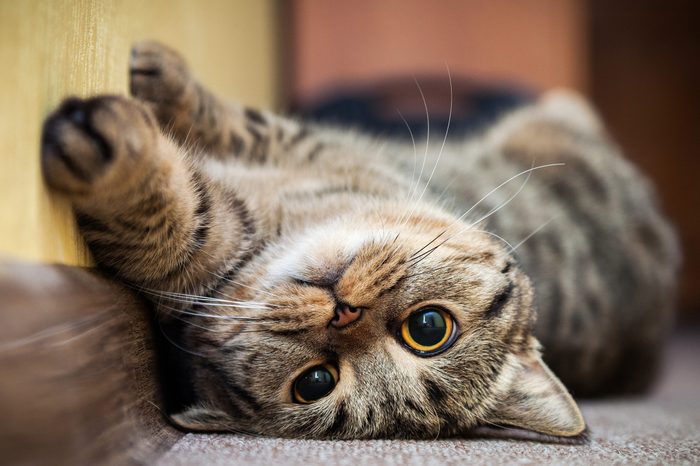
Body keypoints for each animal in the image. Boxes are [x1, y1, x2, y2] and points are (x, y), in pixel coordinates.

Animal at [39, 41, 680, 438]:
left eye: (315, 384)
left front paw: (114, 154)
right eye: (431, 328)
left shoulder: (219, 242)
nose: (344, 310)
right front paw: (160, 73)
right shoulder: (313, 150)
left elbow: (176, 216)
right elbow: (229, 117)